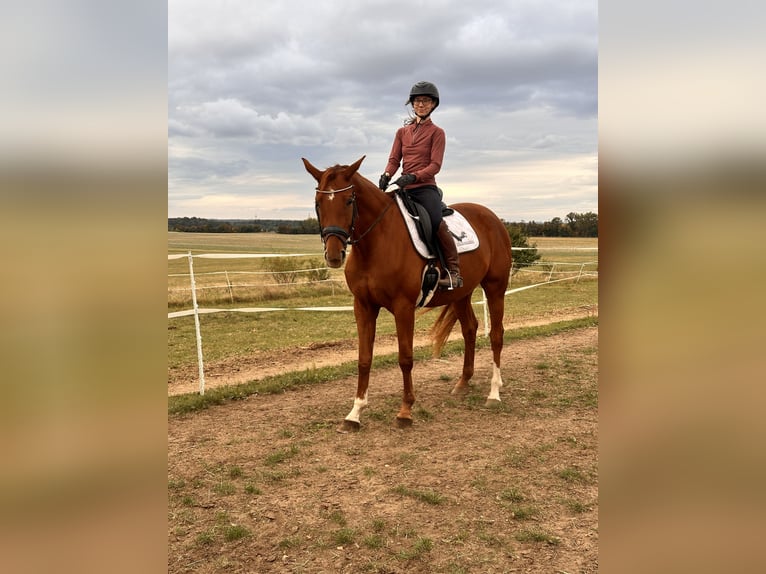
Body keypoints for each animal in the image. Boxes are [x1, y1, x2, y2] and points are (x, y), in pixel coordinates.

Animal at [302, 156, 512, 432]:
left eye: (348, 200)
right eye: (318, 203)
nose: (334, 254)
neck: (376, 244)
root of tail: (493, 218)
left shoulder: (403, 307)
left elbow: (405, 358)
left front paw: (405, 410)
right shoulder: (363, 306)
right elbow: (364, 359)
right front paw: (355, 412)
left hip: (495, 288)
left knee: (496, 335)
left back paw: (494, 392)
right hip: (461, 294)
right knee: (470, 329)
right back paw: (463, 383)